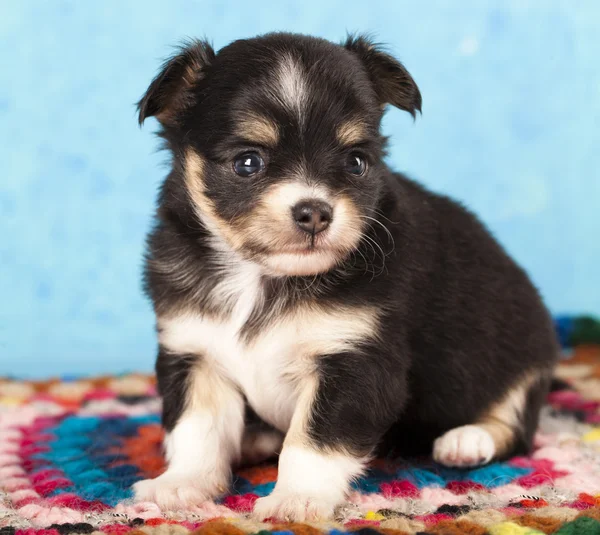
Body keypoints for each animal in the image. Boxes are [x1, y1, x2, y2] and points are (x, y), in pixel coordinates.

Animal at [131, 32, 556, 520]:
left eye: (356, 162)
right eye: (247, 163)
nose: (315, 212)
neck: (261, 277)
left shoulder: (355, 363)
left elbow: (314, 440)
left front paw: (296, 498)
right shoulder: (195, 354)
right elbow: (195, 430)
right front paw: (182, 484)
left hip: (524, 362)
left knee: (516, 427)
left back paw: (468, 439)